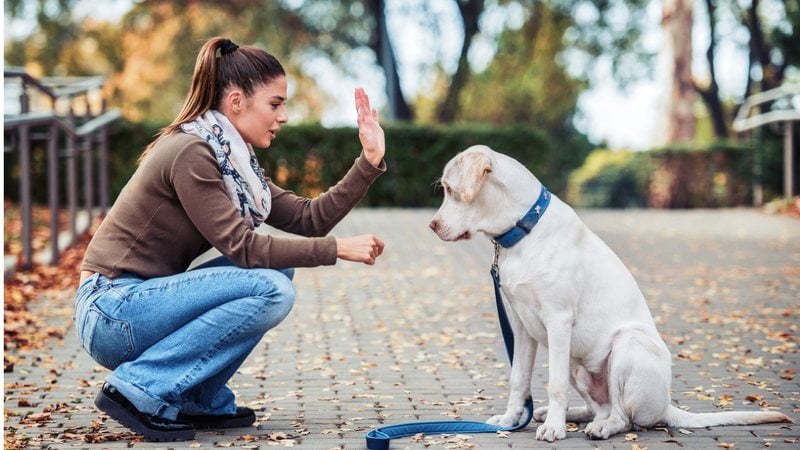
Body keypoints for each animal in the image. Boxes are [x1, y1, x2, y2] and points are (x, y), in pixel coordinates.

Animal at [428, 146, 792, 442]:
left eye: (450, 189)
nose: (432, 226)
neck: (521, 232)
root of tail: (667, 405)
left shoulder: (557, 321)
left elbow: (554, 384)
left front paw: (554, 430)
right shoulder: (521, 326)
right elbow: (519, 380)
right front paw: (509, 420)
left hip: (625, 345)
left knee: (623, 418)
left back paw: (593, 427)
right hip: (577, 364)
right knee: (598, 408)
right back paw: (563, 414)